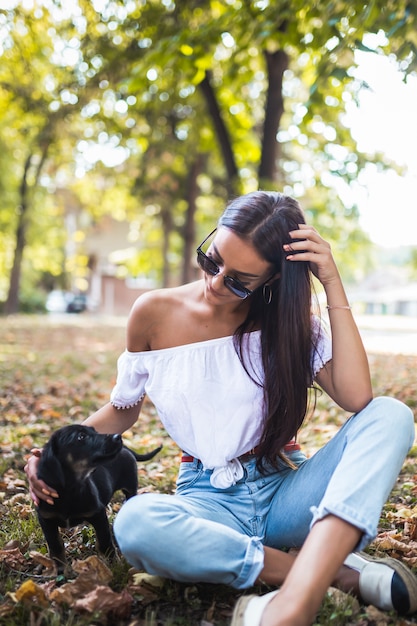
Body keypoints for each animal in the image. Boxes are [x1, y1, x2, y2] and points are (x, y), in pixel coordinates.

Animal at [35, 422, 161, 572]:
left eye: (94, 431)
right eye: (81, 436)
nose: (118, 437)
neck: (69, 490)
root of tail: (125, 449)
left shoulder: (98, 514)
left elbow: (105, 542)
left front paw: (114, 566)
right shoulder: (46, 519)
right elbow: (55, 546)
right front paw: (60, 570)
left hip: (130, 487)